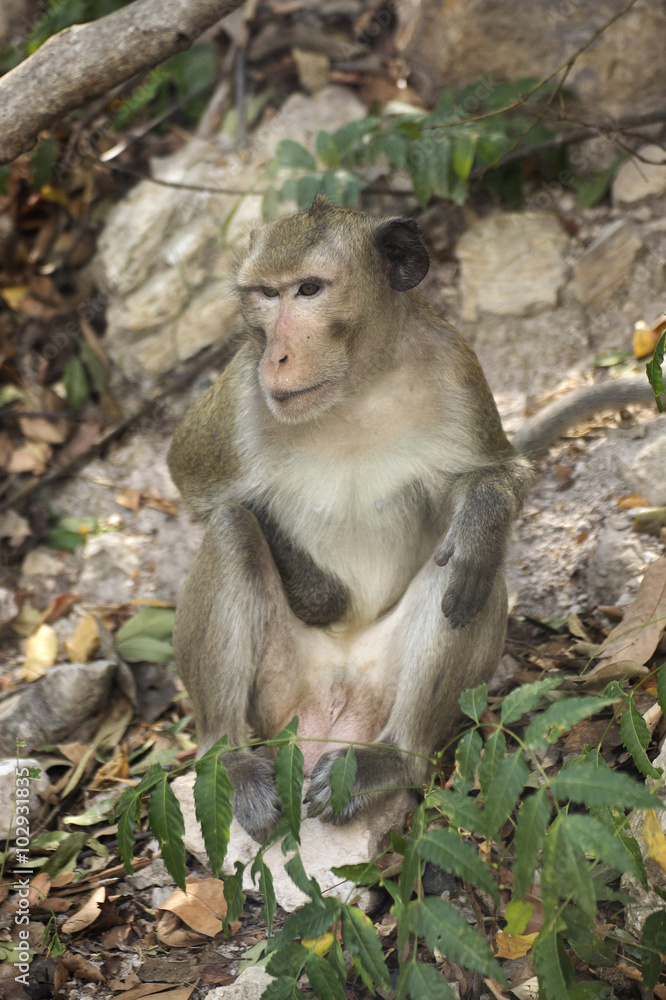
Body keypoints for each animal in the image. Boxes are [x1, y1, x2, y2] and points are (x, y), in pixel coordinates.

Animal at [167, 196, 664, 842]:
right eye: (265, 295)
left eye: (308, 289)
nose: (277, 354)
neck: (356, 386)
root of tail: (331, 704)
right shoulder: (239, 396)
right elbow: (194, 484)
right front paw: (319, 593)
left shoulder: (456, 366)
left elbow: (495, 476)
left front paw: (481, 517)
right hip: (275, 695)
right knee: (229, 529)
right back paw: (228, 757)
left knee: (472, 573)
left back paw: (391, 760)